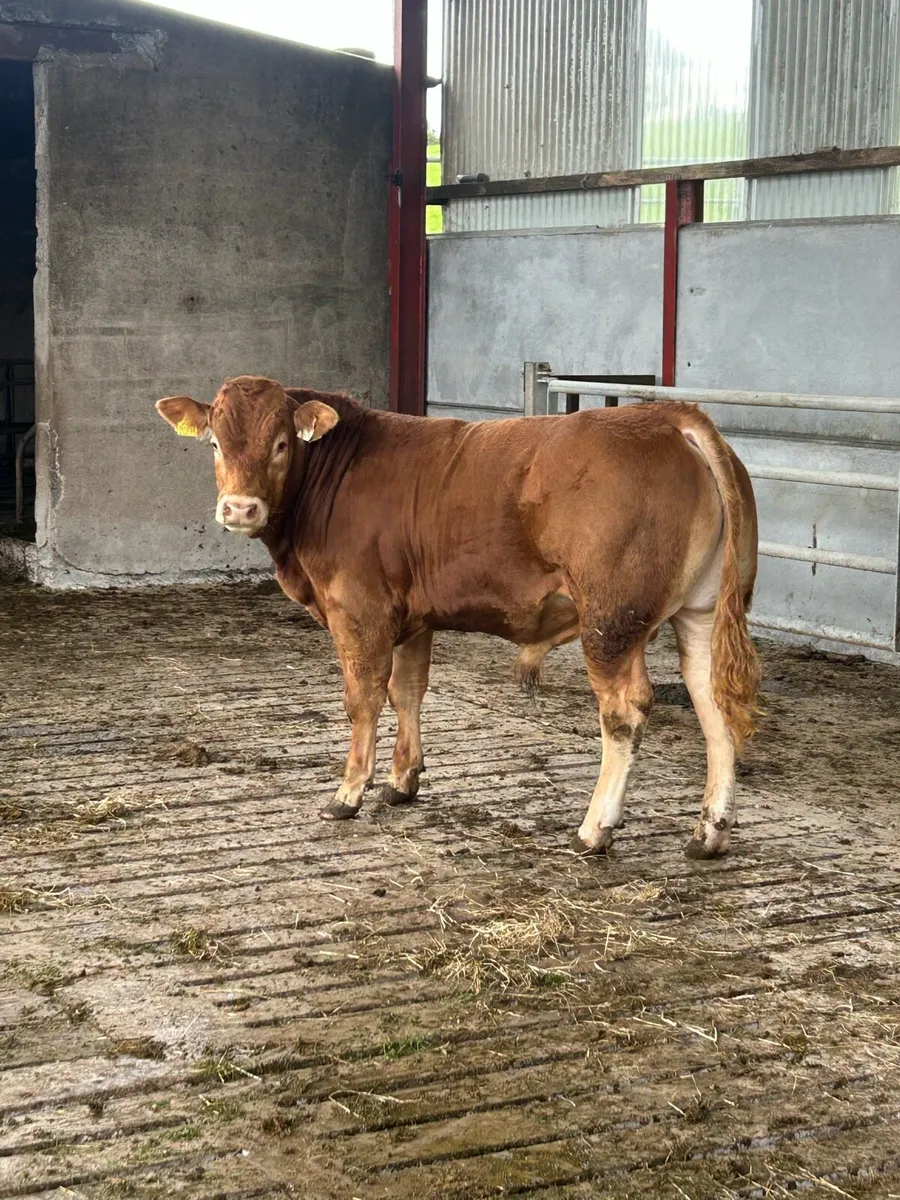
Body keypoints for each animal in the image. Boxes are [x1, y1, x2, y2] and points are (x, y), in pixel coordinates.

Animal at [156, 376, 760, 858]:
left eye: (281, 443)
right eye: (215, 442)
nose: (239, 508)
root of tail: (666, 416)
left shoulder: (359, 610)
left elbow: (364, 698)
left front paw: (348, 793)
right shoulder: (411, 615)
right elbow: (408, 690)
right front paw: (401, 781)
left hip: (611, 621)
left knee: (625, 714)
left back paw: (595, 829)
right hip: (701, 612)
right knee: (713, 703)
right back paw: (710, 832)